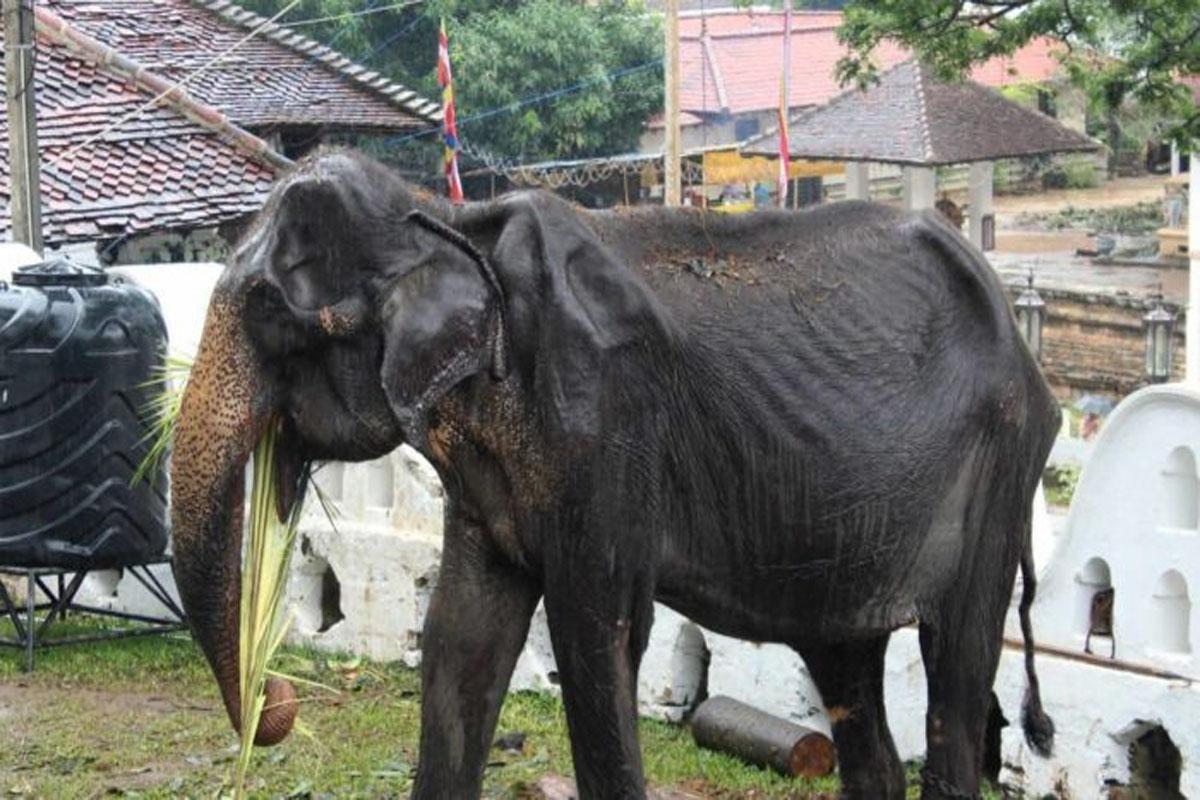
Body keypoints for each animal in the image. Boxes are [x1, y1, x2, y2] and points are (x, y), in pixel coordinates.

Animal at [170, 149, 1059, 800]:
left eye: (267, 309)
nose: (278, 702)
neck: (450, 225)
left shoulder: (605, 424)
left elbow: (598, 636)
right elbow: (461, 635)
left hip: (999, 470)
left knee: (957, 669)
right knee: (849, 675)